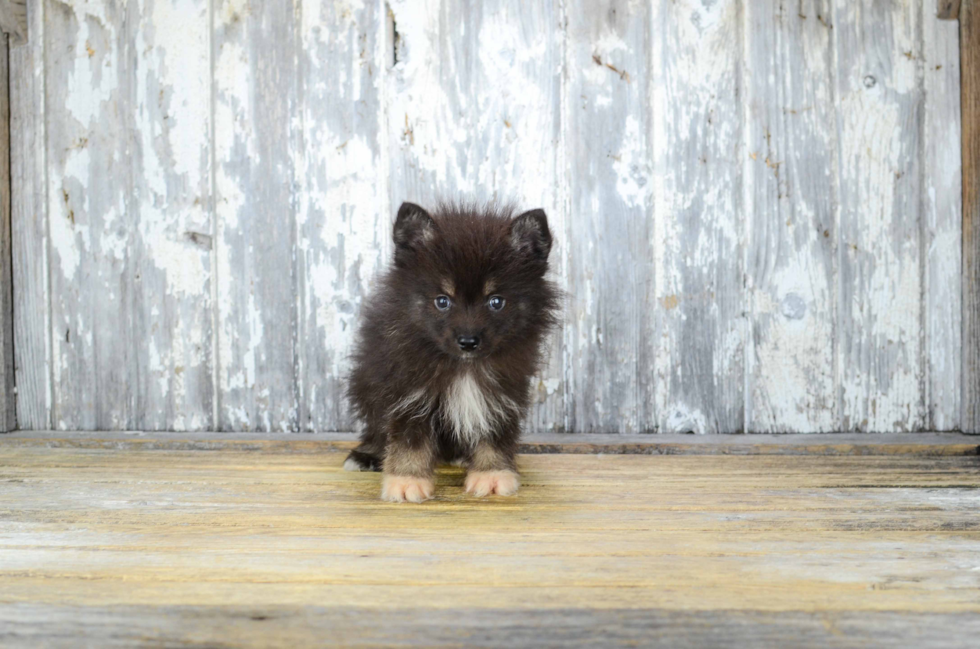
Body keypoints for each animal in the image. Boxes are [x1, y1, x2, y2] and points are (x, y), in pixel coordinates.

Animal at [344, 202, 560, 502]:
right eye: (442, 301)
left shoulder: (501, 393)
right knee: (376, 428)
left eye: (496, 301)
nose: (468, 341)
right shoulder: (409, 391)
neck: (463, 366)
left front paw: (492, 473)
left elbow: (495, 431)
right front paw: (406, 480)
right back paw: (366, 455)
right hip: (365, 383)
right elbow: (409, 437)